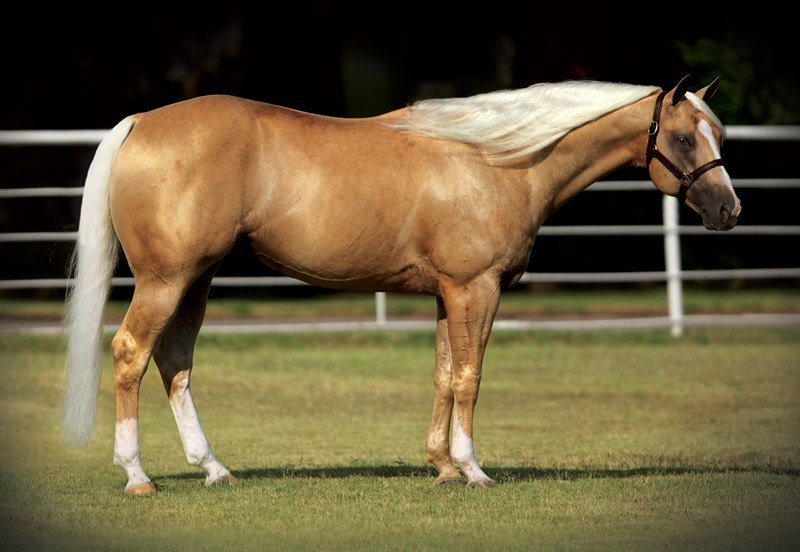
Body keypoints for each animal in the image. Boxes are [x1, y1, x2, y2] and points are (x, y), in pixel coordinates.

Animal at [60, 75, 740, 494]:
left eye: (721, 135)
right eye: (684, 137)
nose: (729, 210)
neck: (498, 159)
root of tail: (139, 123)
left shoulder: (447, 293)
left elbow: (443, 374)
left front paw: (442, 467)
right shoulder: (476, 288)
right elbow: (469, 376)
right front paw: (472, 469)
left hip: (195, 279)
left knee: (174, 360)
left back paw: (214, 468)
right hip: (166, 279)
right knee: (131, 353)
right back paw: (137, 475)